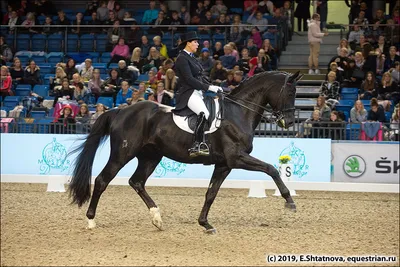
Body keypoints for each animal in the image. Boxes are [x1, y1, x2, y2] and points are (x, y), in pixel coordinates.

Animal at [69, 70, 302, 234]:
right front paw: (289, 201)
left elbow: (211, 193)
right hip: (122, 154)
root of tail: (120, 110)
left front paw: (205, 224)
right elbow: (271, 169)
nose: (289, 122)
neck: (239, 112)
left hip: (150, 156)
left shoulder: (224, 164)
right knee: (102, 180)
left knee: (137, 182)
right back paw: (91, 220)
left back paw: (157, 218)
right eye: (291, 92)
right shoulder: (236, 158)